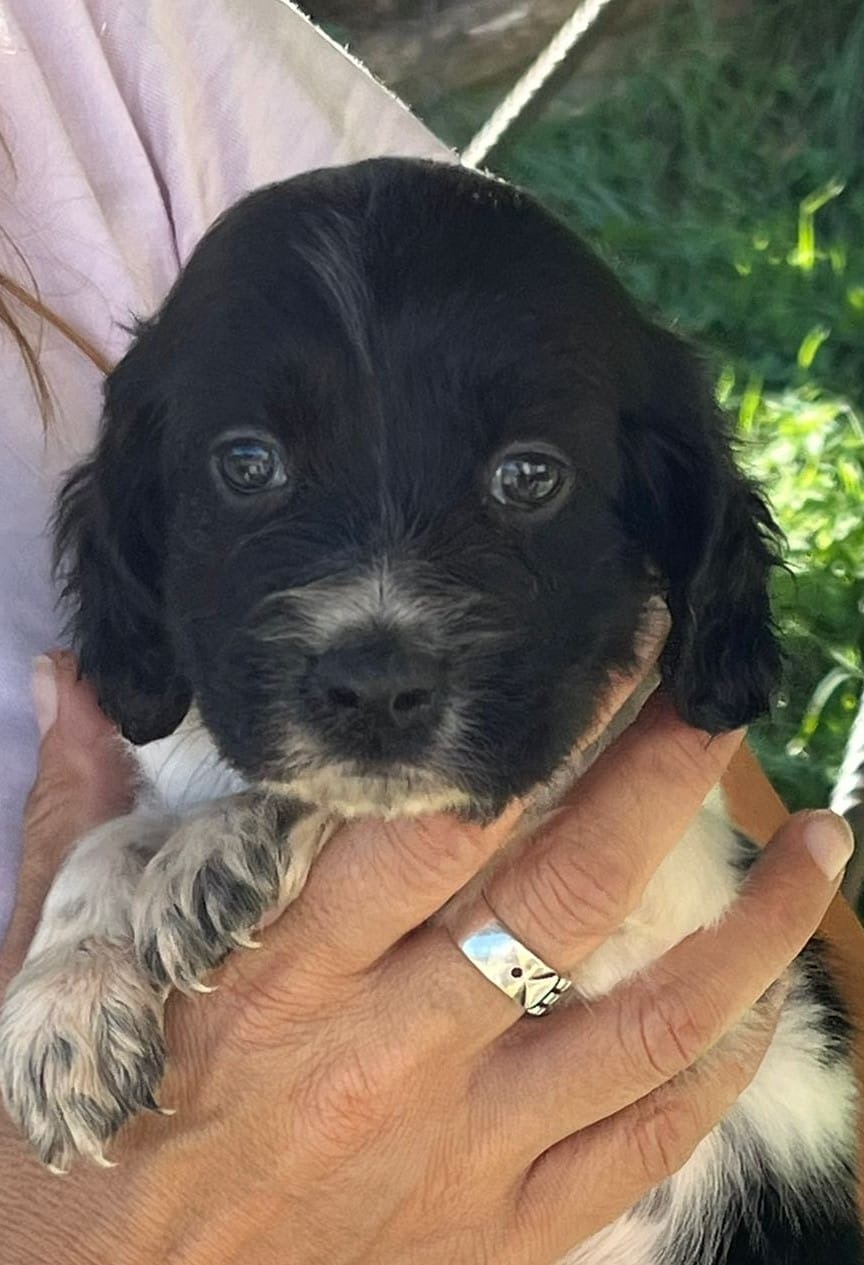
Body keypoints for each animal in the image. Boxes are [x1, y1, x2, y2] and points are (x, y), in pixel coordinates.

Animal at [0, 158, 860, 1264]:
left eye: (529, 475)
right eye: (246, 462)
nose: (373, 688)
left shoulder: (682, 923)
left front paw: (226, 838)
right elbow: (105, 836)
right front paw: (63, 1004)